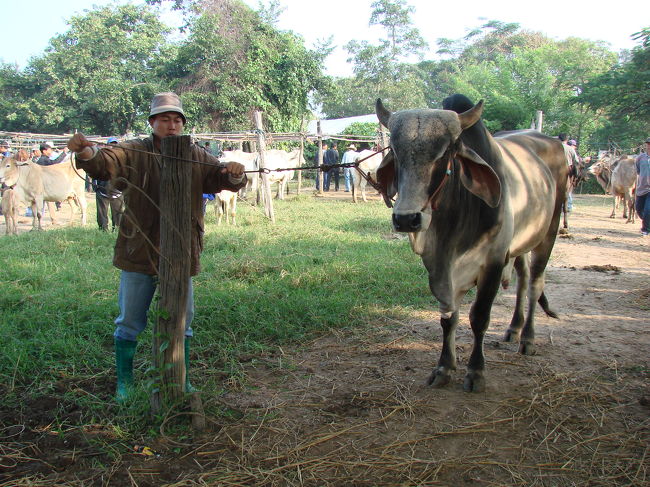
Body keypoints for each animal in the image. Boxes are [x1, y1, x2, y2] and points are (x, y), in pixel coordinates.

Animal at [372, 94, 564, 392]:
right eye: (394, 148)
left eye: (446, 151)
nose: (406, 219)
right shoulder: (439, 269)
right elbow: (448, 318)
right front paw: (444, 367)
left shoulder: (493, 261)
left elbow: (479, 317)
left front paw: (476, 371)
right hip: (519, 245)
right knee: (523, 278)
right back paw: (514, 328)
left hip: (549, 231)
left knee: (535, 283)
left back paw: (528, 338)